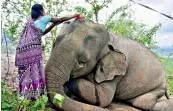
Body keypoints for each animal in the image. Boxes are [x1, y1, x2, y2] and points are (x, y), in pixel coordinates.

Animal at [44, 19, 172, 111]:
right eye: (54, 44)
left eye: (81, 63)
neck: (110, 37)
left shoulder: (116, 73)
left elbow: (103, 97)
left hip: (157, 87)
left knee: (142, 103)